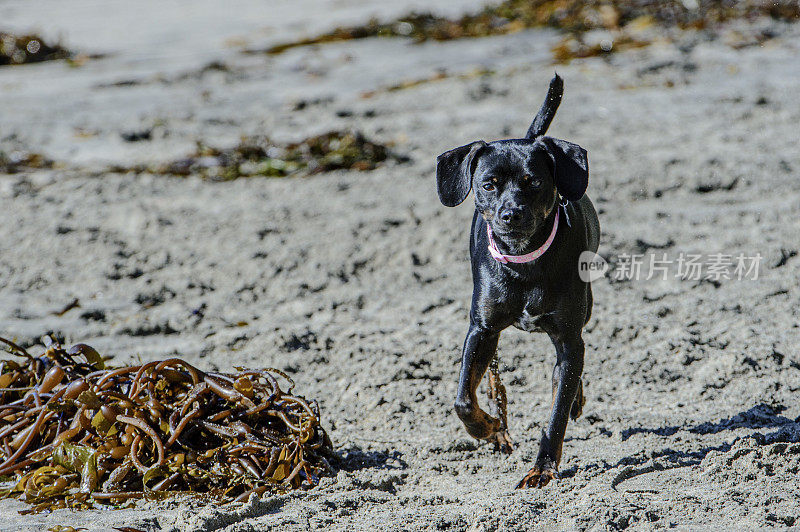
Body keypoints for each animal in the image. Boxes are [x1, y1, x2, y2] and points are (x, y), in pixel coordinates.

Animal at [438, 75, 600, 490]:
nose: (511, 214)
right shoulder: (482, 330)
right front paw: (489, 427)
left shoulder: (569, 337)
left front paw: (542, 468)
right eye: (489, 184)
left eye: (533, 182)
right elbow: (463, 399)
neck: (525, 262)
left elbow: (557, 412)